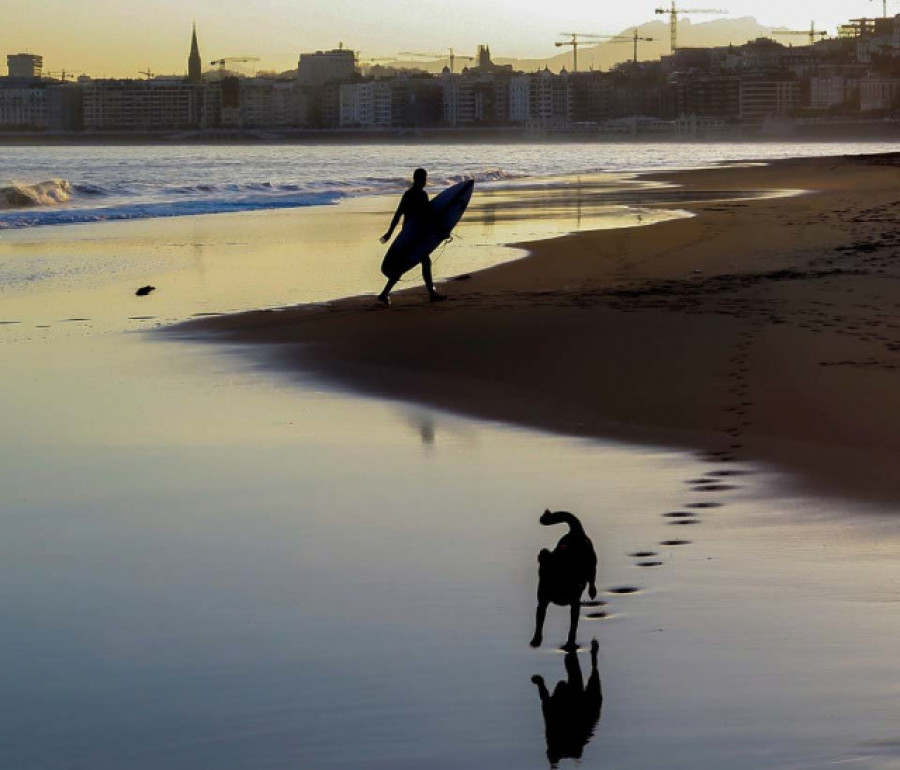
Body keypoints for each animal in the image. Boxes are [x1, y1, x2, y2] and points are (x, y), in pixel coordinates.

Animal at [532, 510, 596, 648]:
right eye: (543, 573)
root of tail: (576, 531)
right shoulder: (542, 602)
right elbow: (540, 621)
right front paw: (537, 639)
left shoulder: (575, 604)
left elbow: (573, 625)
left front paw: (570, 643)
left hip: (592, 564)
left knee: (592, 578)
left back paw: (592, 592)